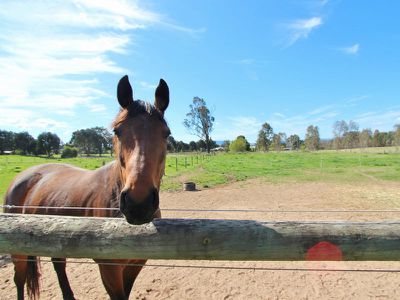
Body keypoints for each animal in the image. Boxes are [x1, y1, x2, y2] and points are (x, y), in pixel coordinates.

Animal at [3, 74, 171, 298]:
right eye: (117, 131)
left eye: (166, 134)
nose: (138, 203)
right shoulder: (108, 268)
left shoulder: (135, 264)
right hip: (18, 250)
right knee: (20, 279)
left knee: (59, 266)